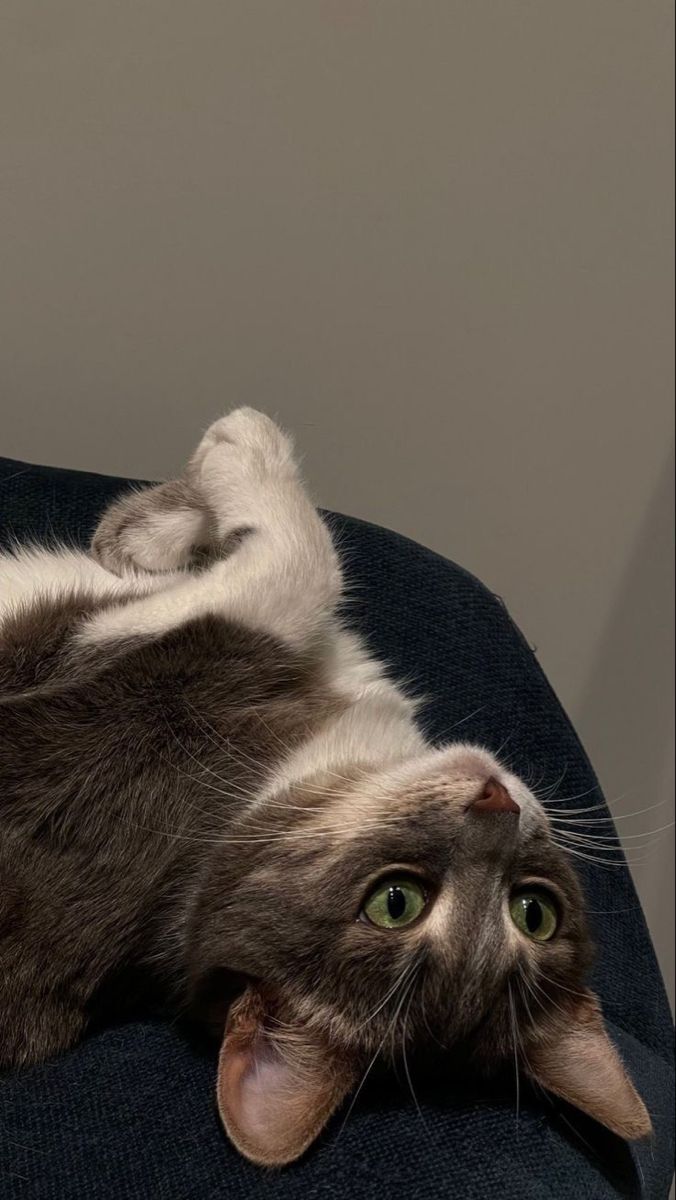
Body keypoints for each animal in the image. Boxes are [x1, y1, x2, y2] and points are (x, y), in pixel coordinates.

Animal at [0, 410, 653, 1161]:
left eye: (392, 903)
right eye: (536, 909)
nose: (498, 801)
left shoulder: (138, 693)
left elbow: (302, 563)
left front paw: (239, 443)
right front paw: (143, 533)